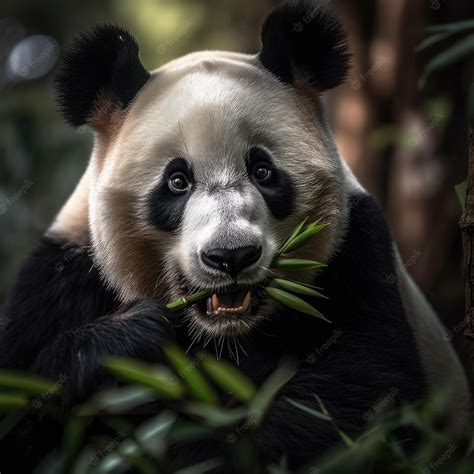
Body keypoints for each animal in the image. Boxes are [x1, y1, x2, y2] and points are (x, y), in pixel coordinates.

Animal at [0, 0, 468, 468]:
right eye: (177, 181)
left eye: (262, 172)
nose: (231, 256)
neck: (226, 336)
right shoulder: (65, 272)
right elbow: (24, 401)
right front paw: (128, 342)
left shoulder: (357, 251)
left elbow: (361, 394)